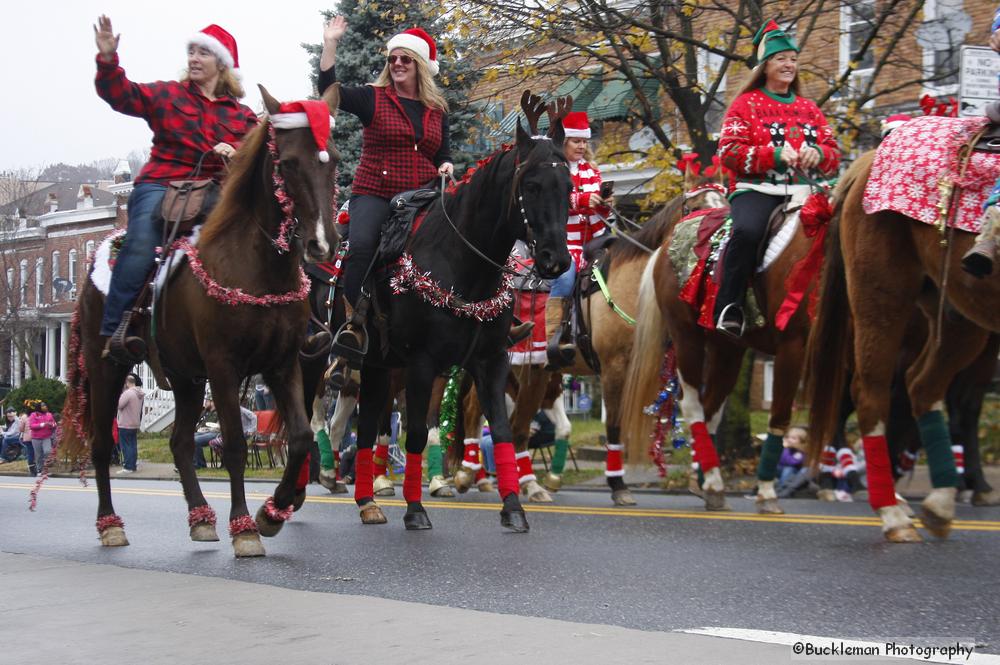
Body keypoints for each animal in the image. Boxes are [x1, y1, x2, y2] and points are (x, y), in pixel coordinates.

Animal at [63, 85, 344, 556]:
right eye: (287, 162)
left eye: (335, 158)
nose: (322, 244)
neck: (256, 266)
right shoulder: (223, 366)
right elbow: (233, 445)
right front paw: (245, 527)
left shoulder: (284, 363)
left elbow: (302, 437)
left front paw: (272, 513)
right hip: (108, 368)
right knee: (102, 445)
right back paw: (110, 525)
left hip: (186, 377)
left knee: (178, 443)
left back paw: (200, 518)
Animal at [454, 166, 728, 504]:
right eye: (697, 207)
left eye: (725, 205)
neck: (633, 284)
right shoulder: (615, 367)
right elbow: (615, 424)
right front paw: (618, 485)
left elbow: (697, 413)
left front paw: (702, 481)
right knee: (477, 411)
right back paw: (469, 474)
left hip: (534, 372)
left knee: (513, 424)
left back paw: (527, 483)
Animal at [624, 170, 828, 508]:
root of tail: (666, 246)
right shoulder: (793, 346)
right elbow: (780, 415)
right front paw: (767, 491)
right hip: (688, 339)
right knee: (694, 406)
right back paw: (714, 483)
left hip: (727, 349)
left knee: (710, 411)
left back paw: (706, 480)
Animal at [804, 124, 1000, 540]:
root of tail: (866, 160)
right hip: (881, 303)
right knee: (868, 396)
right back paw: (891, 512)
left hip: (958, 319)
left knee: (921, 388)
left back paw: (937, 504)